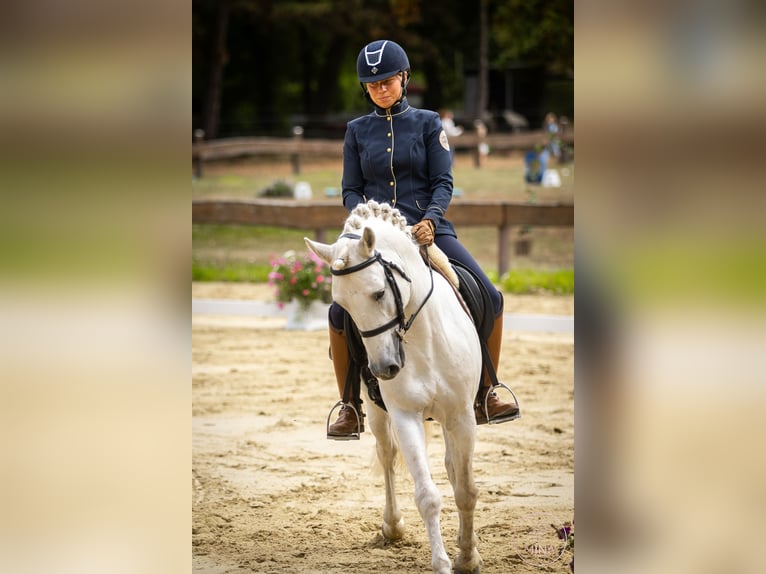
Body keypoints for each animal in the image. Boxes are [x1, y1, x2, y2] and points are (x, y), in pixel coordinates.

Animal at [305, 200, 484, 574]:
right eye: (343, 306)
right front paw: (443, 562)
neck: (423, 338)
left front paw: (468, 557)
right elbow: (427, 495)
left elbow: (465, 489)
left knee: (452, 467)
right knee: (386, 454)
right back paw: (392, 526)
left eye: (379, 292)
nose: (383, 368)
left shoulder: (462, 416)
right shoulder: (404, 415)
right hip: (376, 411)